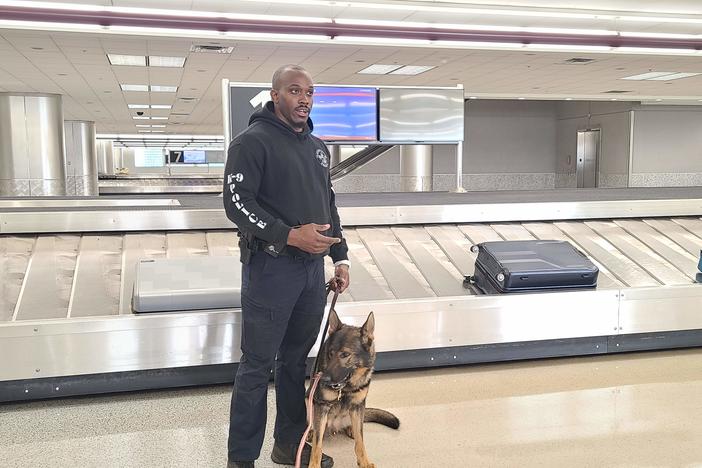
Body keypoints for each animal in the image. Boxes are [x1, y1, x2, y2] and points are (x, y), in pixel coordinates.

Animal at [310, 308, 402, 466]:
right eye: (330, 353)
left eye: (345, 354)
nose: (323, 379)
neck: (346, 388)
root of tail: (335, 426)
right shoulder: (322, 406)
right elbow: (317, 445)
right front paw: (313, 464)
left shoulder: (358, 405)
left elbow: (360, 440)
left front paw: (364, 462)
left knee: (357, 428)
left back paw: (351, 429)